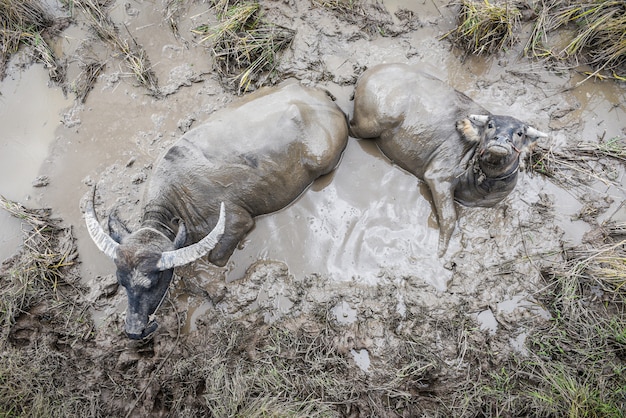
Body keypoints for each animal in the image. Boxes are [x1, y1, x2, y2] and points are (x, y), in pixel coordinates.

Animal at [83, 81, 348, 340]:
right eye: (121, 281)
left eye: (152, 282)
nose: (134, 330)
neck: (177, 197)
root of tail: (322, 100)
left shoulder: (237, 222)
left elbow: (215, 258)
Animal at [352, 63, 544, 256]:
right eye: (491, 125)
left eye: (519, 133)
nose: (501, 140)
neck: (482, 185)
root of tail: (370, 72)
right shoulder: (437, 177)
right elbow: (450, 217)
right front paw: (442, 250)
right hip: (371, 124)